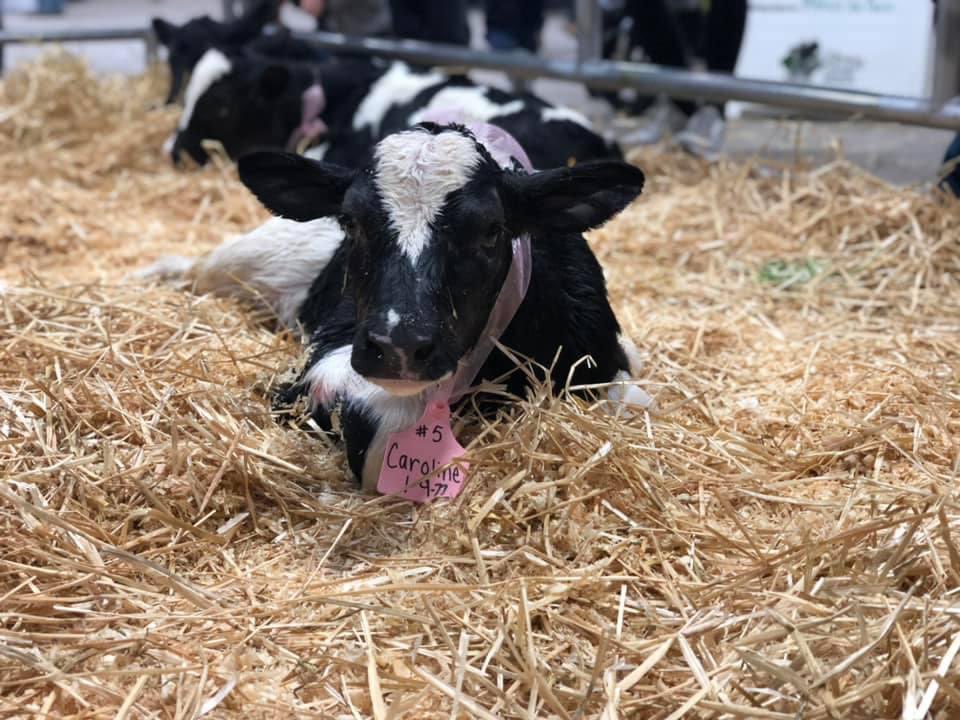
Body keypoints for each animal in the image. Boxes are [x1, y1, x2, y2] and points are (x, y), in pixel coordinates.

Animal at [139, 119, 650, 493]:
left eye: (490, 229)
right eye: (350, 221)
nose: (398, 346)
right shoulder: (324, 360)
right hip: (246, 257)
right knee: (195, 267)